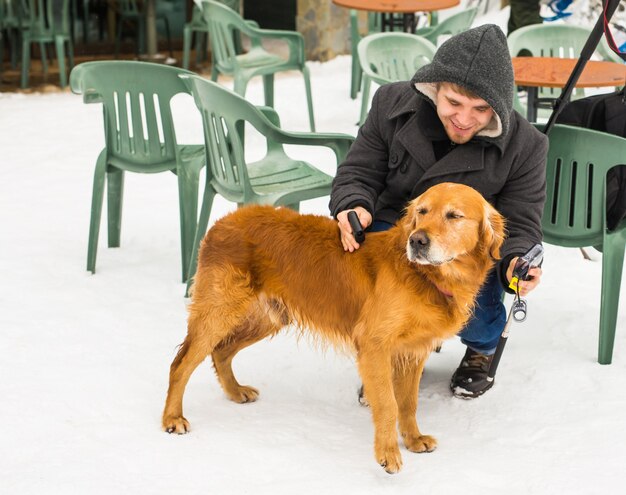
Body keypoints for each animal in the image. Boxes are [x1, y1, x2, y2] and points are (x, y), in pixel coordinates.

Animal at [161, 181, 502, 472]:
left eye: (454, 216)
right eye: (422, 212)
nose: (417, 240)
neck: (426, 276)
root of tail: (224, 221)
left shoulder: (412, 351)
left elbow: (408, 402)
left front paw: (414, 439)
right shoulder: (375, 346)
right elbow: (388, 404)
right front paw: (388, 454)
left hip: (268, 317)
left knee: (222, 352)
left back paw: (235, 392)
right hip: (219, 312)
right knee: (181, 363)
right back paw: (173, 417)